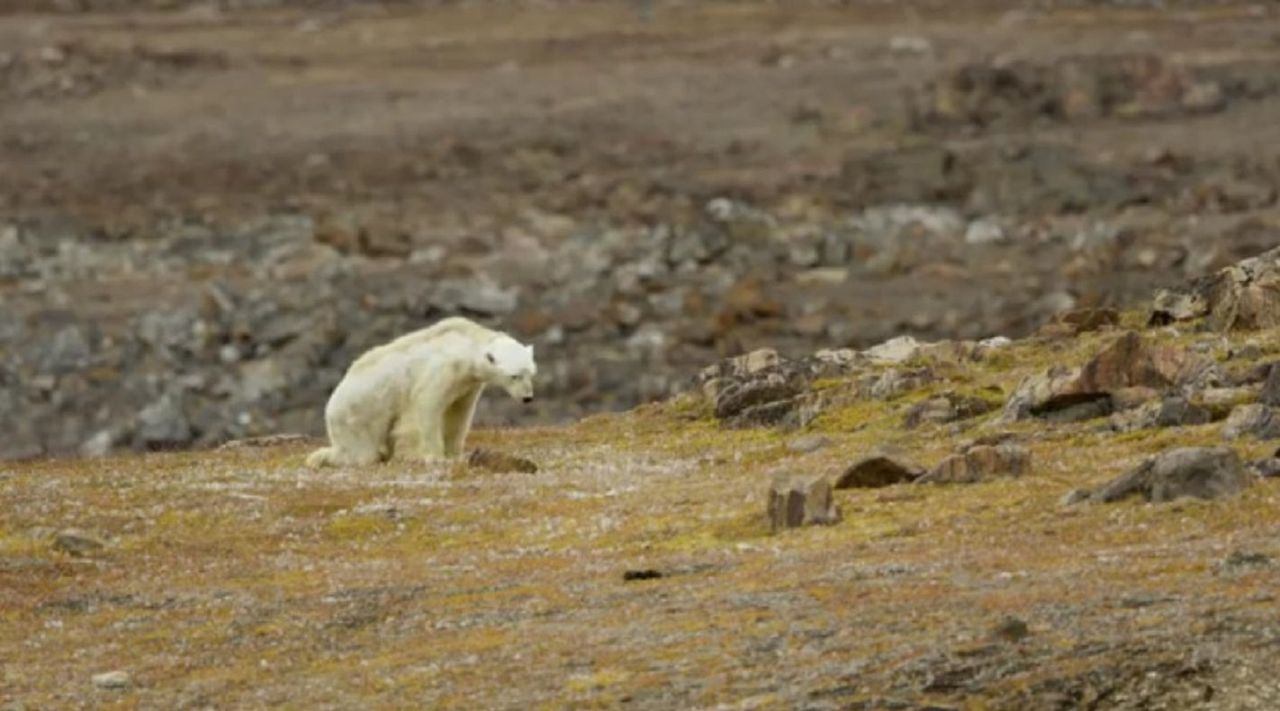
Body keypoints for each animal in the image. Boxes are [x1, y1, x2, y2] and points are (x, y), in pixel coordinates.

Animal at [307, 318, 537, 466]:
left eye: (531, 373)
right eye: (514, 375)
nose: (527, 398)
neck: (464, 344)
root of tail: (330, 407)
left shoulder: (467, 384)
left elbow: (459, 414)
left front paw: (455, 455)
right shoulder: (442, 370)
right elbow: (427, 405)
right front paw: (435, 456)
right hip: (359, 413)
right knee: (361, 452)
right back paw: (321, 457)